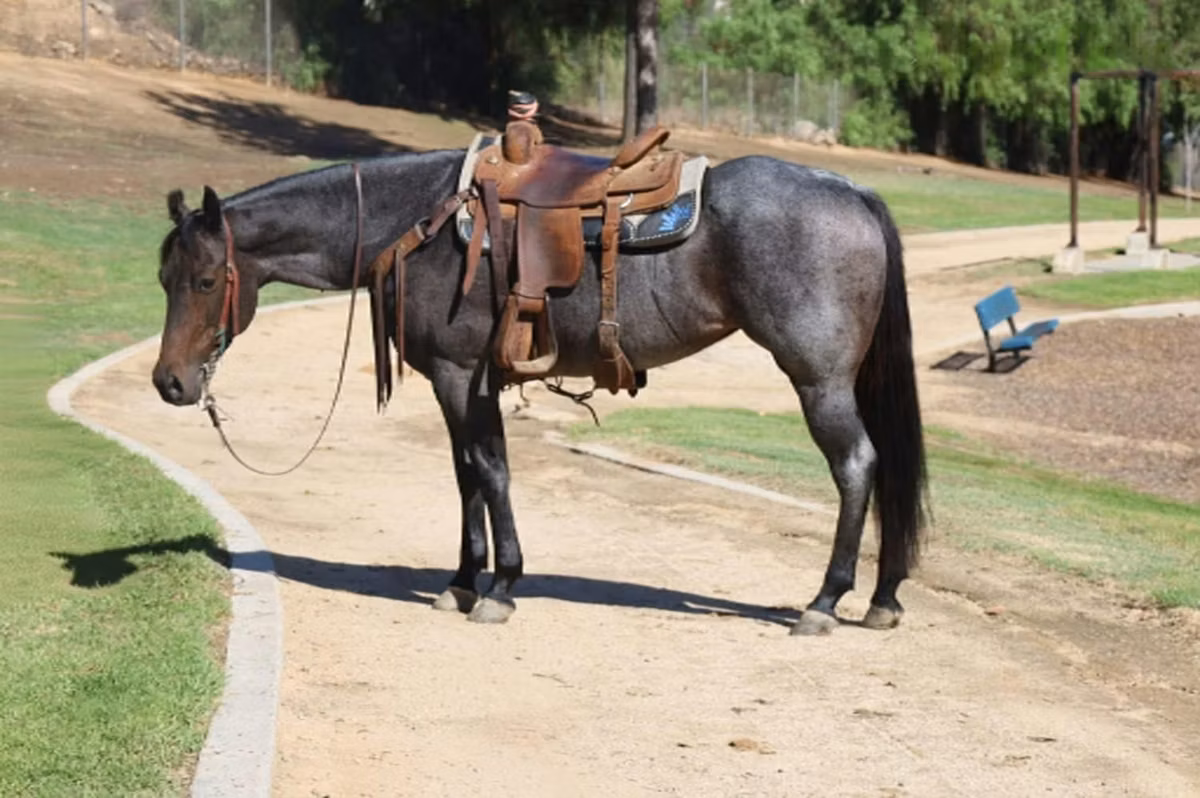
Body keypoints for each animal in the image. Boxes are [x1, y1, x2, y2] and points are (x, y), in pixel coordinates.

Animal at [151, 150, 927, 636]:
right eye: (163, 279)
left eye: (204, 279)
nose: (170, 382)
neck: (419, 222)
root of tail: (851, 192)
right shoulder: (465, 382)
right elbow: (466, 476)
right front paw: (464, 581)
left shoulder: (461, 374)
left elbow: (488, 471)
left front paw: (501, 586)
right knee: (885, 466)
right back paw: (884, 596)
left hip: (818, 380)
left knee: (856, 466)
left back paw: (827, 598)